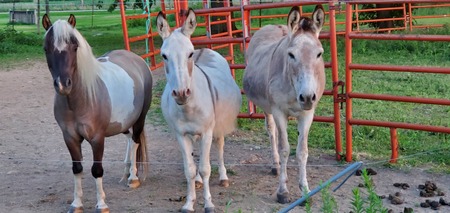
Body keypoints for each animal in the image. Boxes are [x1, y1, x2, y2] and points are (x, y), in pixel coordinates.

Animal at [43, 14, 154, 212]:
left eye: (75, 46)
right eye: (46, 48)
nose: (63, 84)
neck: (79, 100)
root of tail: (138, 60)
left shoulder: (97, 138)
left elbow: (97, 170)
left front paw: (101, 204)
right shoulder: (70, 137)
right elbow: (77, 169)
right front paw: (76, 203)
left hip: (140, 118)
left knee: (135, 142)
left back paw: (133, 178)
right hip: (122, 122)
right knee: (128, 138)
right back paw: (126, 170)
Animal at [244, 5, 326, 204]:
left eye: (319, 53)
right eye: (291, 55)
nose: (307, 97)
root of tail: (273, 25)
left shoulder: (307, 114)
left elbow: (302, 151)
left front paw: (305, 191)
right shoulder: (279, 111)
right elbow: (284, 149)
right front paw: (283, 192)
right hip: (267, 108)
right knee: (271, 132)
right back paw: (276, 166)